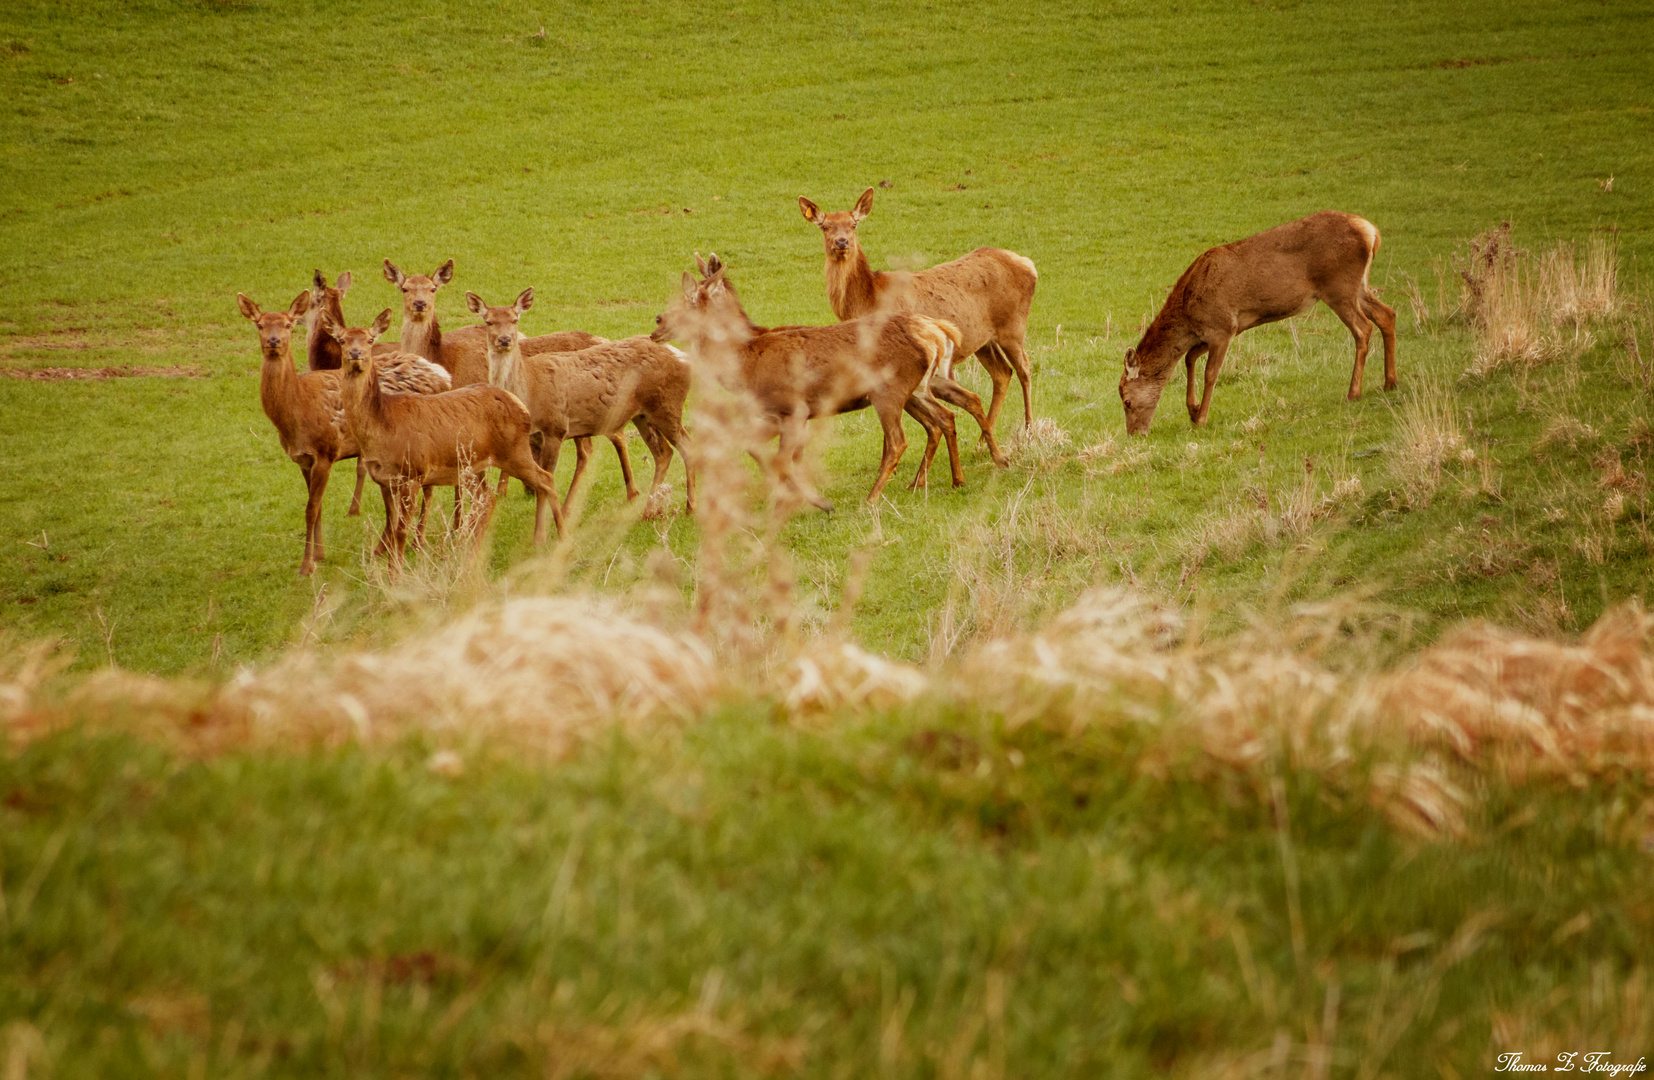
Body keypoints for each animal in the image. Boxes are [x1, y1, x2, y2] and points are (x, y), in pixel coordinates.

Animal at [325, 307, 565, 568]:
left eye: (370, 339)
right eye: (341, 340)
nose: (355, 354)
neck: (382, 425)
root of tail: (519, 404)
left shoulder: (413, 472)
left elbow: (401, 530)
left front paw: (396, 571)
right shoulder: (383, 479)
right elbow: (392, 525)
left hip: (514, 451)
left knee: (546, 479)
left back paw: (562, 537)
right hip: (473, 464)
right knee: (487, 497)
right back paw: (471, 552)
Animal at [469, 282, 694, 509]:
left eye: (515, 319)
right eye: (488, 321)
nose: (504, 340)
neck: (529, 389)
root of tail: (680, 356)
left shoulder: (555, 427)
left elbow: (548, 478)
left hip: (668, 405)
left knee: (687, 446)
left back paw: (689, 507)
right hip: (642, 414)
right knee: (663, 452)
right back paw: (648, 510)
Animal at [651, 253, 965, 509]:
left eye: (688, 301)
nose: (657, 322)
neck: (745, 363)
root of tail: (934, 331)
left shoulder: (791, 408)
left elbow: (780, 460)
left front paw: (810, 501)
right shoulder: (782, 415)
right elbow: (769, 453)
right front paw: (794, 498)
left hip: (889, 391)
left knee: (899, 441)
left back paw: (872, 499)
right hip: (917, 389)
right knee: (944, 417)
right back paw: (954, 480)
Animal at [797, 183, 1032, 459]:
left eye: (853, 224)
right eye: (825, 226)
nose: (842, 242)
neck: (869, 299)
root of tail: (1029, 264)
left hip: (1014, 326)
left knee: (1024, 369)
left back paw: (1028, 432)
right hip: (984, 340)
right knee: (1002, 373)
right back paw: (982, 443)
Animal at [1118, 209, 1402, 433]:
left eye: (1126, 401)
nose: (1134, 433)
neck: (1188, 313)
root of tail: (1371, 232)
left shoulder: (1223, 327)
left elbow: (1210, 373)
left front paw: (1201, 419)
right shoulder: (1213, 332)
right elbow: (1189, 358)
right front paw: (1193, 409)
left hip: (1338, 286)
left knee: (1363, 328)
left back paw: (1353, 392)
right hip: (1358, 286)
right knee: (1387, 314)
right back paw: (1390, 382)